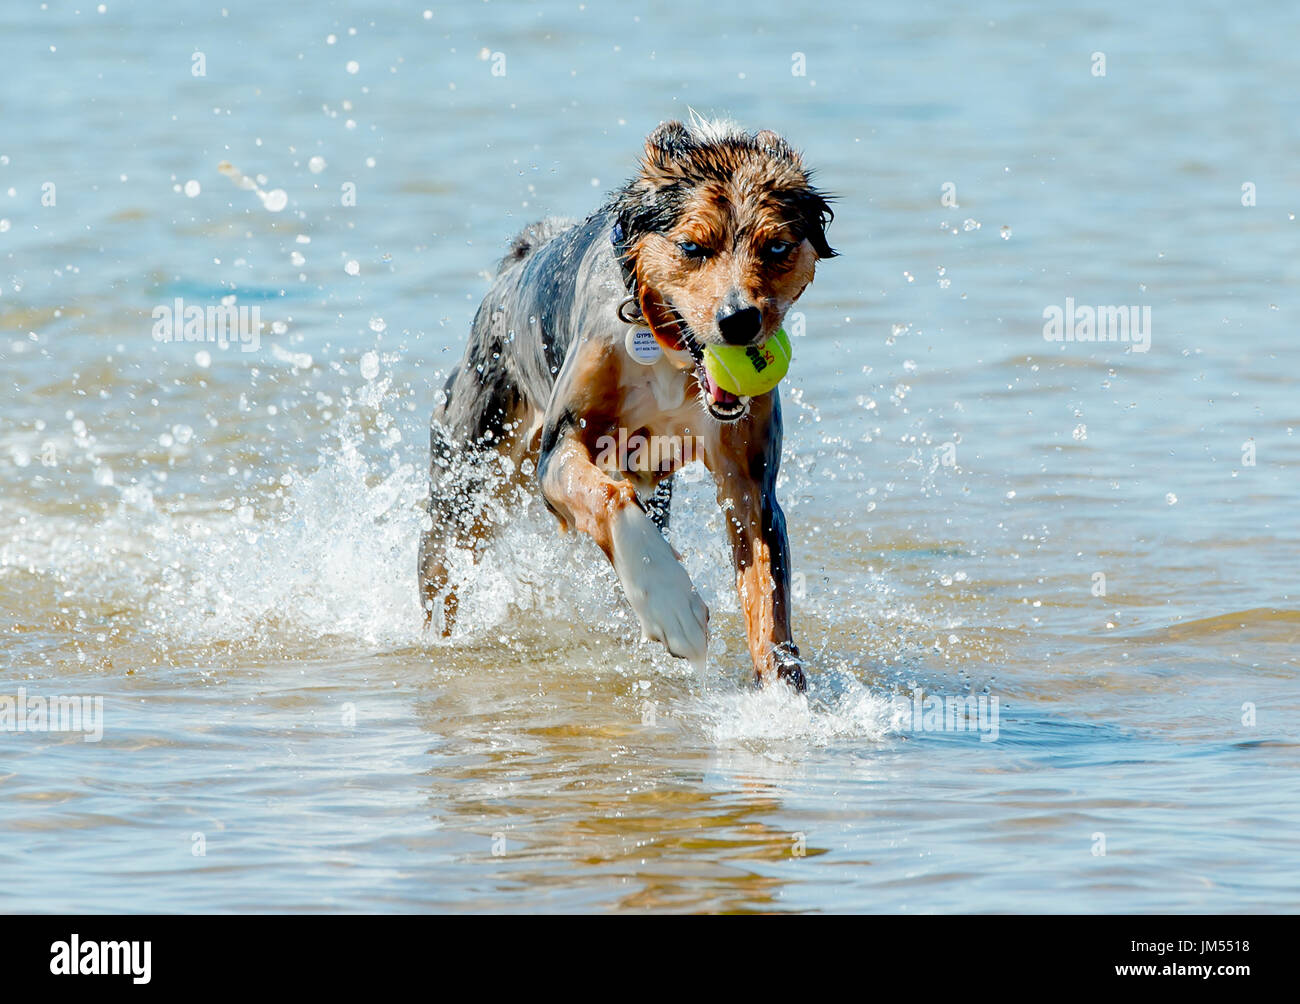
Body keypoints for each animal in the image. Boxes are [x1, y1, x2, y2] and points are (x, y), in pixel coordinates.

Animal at [421, 117, 837, 691]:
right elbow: (607, 496)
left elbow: (767, 601)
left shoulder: (750, 481)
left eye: (776, 247)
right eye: (692, 247)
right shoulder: (559, 448)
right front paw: (673, 607)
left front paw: (782, 695)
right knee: (439, 566)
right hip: (467, 474)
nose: (739, 321)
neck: (665, 352)